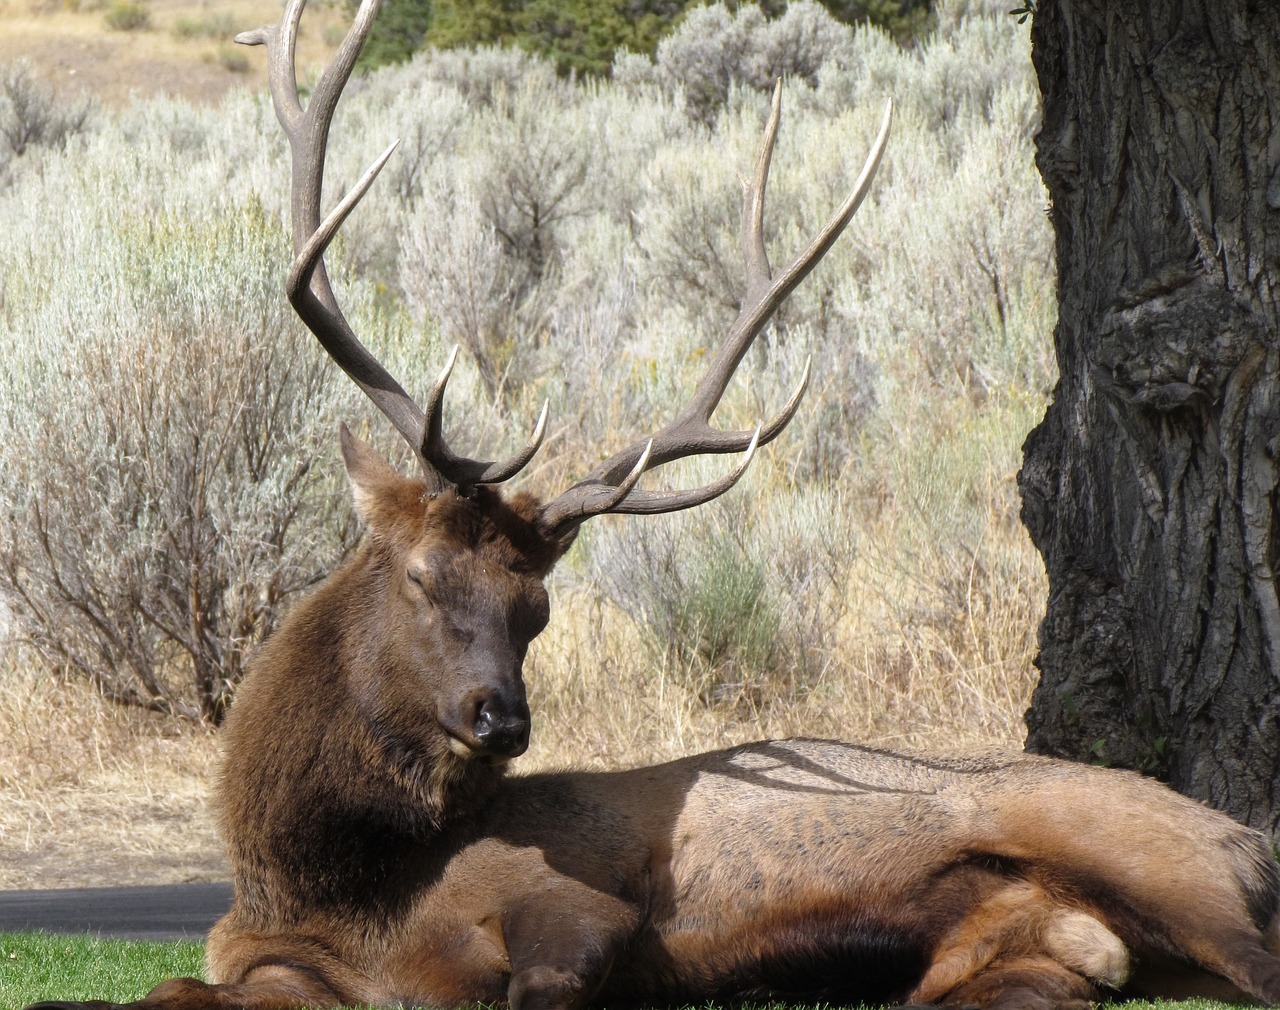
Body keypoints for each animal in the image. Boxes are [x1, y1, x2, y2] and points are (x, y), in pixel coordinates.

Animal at [24, 1, 1280, 1008]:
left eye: (536, 608)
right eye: (424, 575)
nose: (500, 718)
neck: (332, 881)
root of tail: (1243, 835)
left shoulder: (579, 905)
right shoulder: (268, 960)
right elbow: (173, 985)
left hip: (1171, 863)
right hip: (1023, 950)